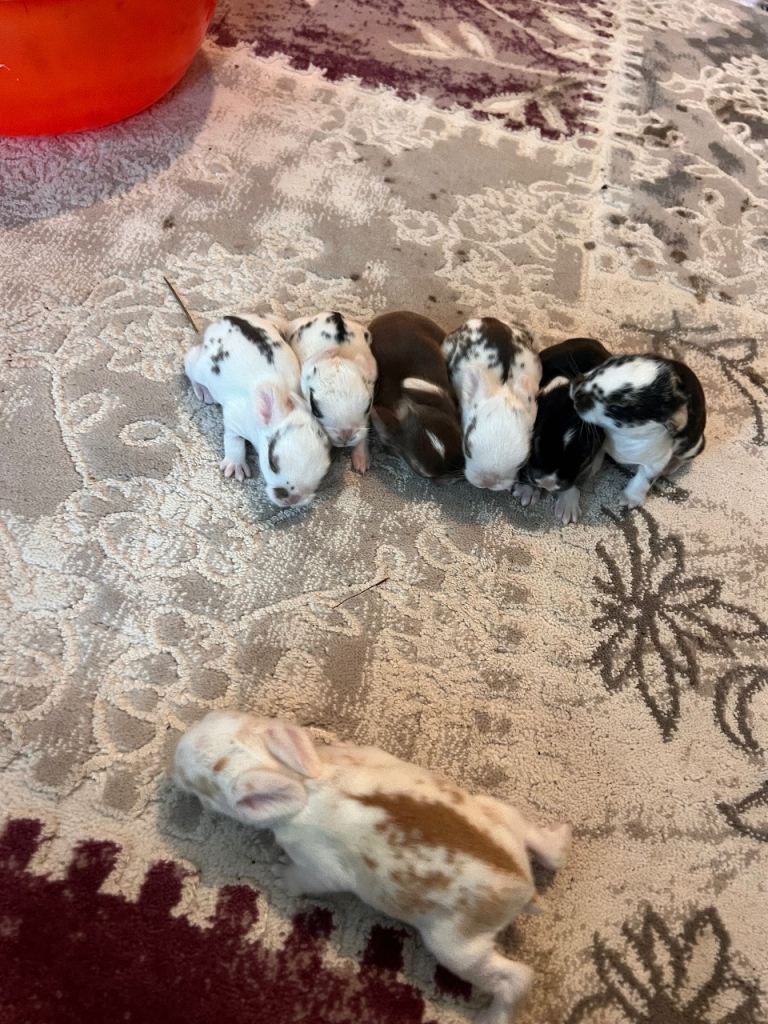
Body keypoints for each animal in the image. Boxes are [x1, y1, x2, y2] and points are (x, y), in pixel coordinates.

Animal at [174, 711, 572, 1024]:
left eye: (200, 785)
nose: (173, 756)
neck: (306, 782)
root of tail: (522, 887)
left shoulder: (318, 865)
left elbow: (305, 879)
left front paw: (279, 873)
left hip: (455, 947)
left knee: (515, 978)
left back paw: (492, 1017)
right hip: (502, 815)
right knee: (543, 846)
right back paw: (560, 837)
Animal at [184, 315, 331, 509]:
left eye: (322, 475)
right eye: (272, 463)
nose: (292, 499)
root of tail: (224, 319)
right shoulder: (234, 422)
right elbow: (233, 441)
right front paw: (235, 467)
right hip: (200, 368)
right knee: (188, 361)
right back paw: (202, 391)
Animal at [287, 311, 377, 474]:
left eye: (368, 407)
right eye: (315, 410)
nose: (346, 435)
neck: (338, 358)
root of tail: (331, 313)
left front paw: (361, 463)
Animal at [570, 354, 706, 508]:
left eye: (616, 408)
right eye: (609, 363)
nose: (577, 392)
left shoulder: (655, 463)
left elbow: (642, 481)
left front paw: (629, 499)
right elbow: (598, 452)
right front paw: (589, 468)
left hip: (693, 446)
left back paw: (671, 466)